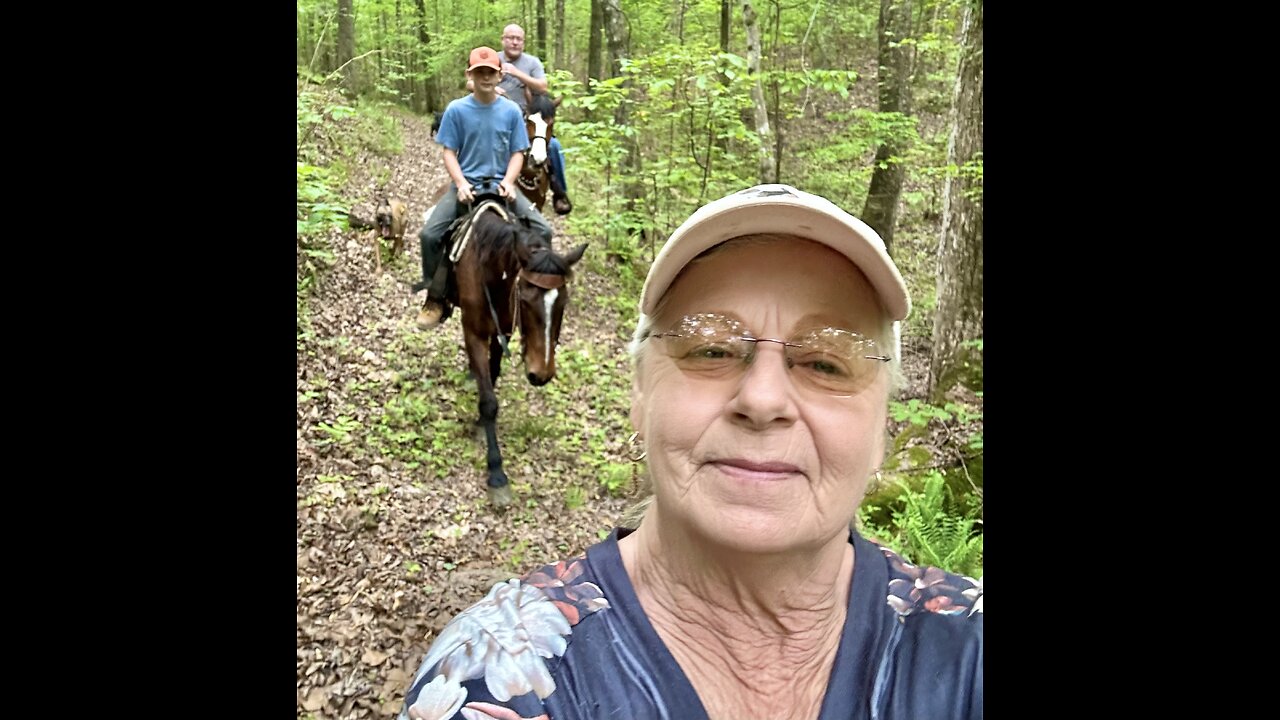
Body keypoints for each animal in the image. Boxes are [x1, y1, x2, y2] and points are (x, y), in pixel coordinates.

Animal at [445, 194, 588, 504]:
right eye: (524, 299)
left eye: (563, 302)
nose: (541, 374)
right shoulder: (474, 332)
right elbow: (489, 402)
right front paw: (496, 474)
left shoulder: (505, 330)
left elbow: (493, 373)